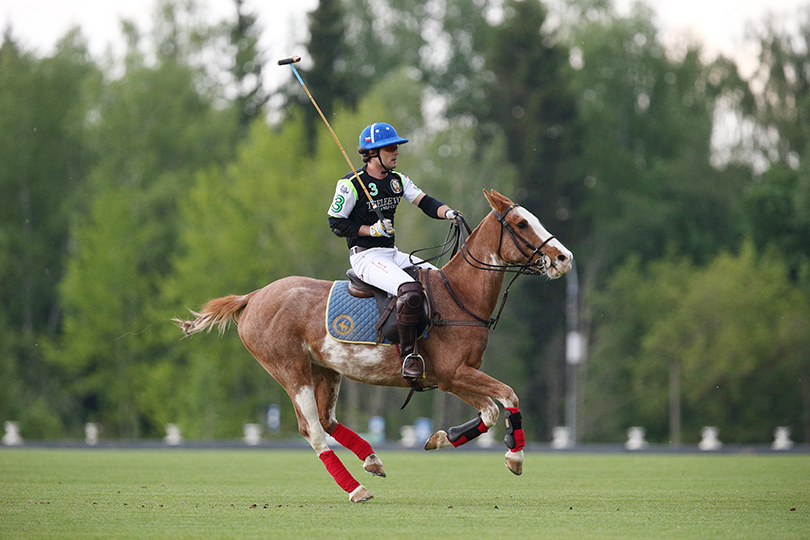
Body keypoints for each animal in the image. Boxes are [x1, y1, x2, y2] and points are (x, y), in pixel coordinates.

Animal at [175, 190, 568, 502]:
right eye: (521, 223)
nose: (564, 258)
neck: (460, 296)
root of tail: (253, 296)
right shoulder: (452, 374)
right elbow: (507, 397)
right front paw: (515, 458)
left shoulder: (456, 377)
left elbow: (490, 411)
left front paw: (442, 437)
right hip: (289, 369)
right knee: (312, 429)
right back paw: (355, 489)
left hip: (326, 369)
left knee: (327, 419)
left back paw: (372, 460)